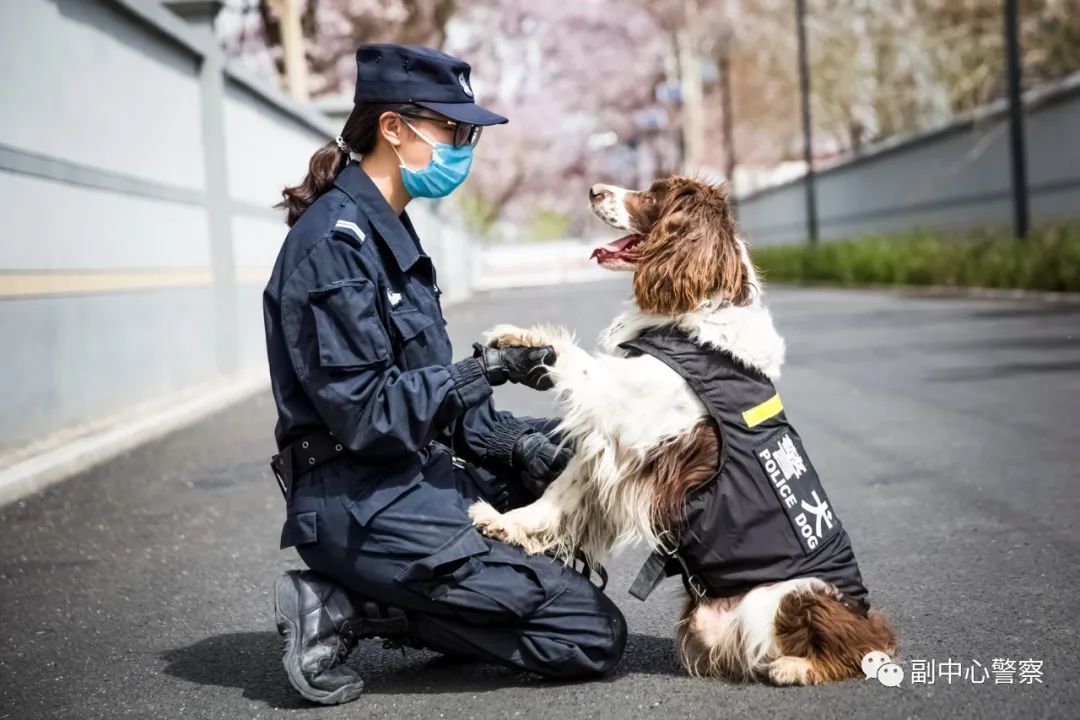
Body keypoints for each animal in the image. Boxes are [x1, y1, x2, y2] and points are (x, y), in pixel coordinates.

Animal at [468, 175, 898, 686]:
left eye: (653, 196)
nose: (594, 189)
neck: (697, 317)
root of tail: (864, 617)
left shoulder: (627, 416)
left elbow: (581, 366)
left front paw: (528, 339)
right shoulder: (617, 451)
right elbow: (559, 493)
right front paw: (504, 522)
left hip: (781, 597)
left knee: (853, 649)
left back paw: (792, 667)